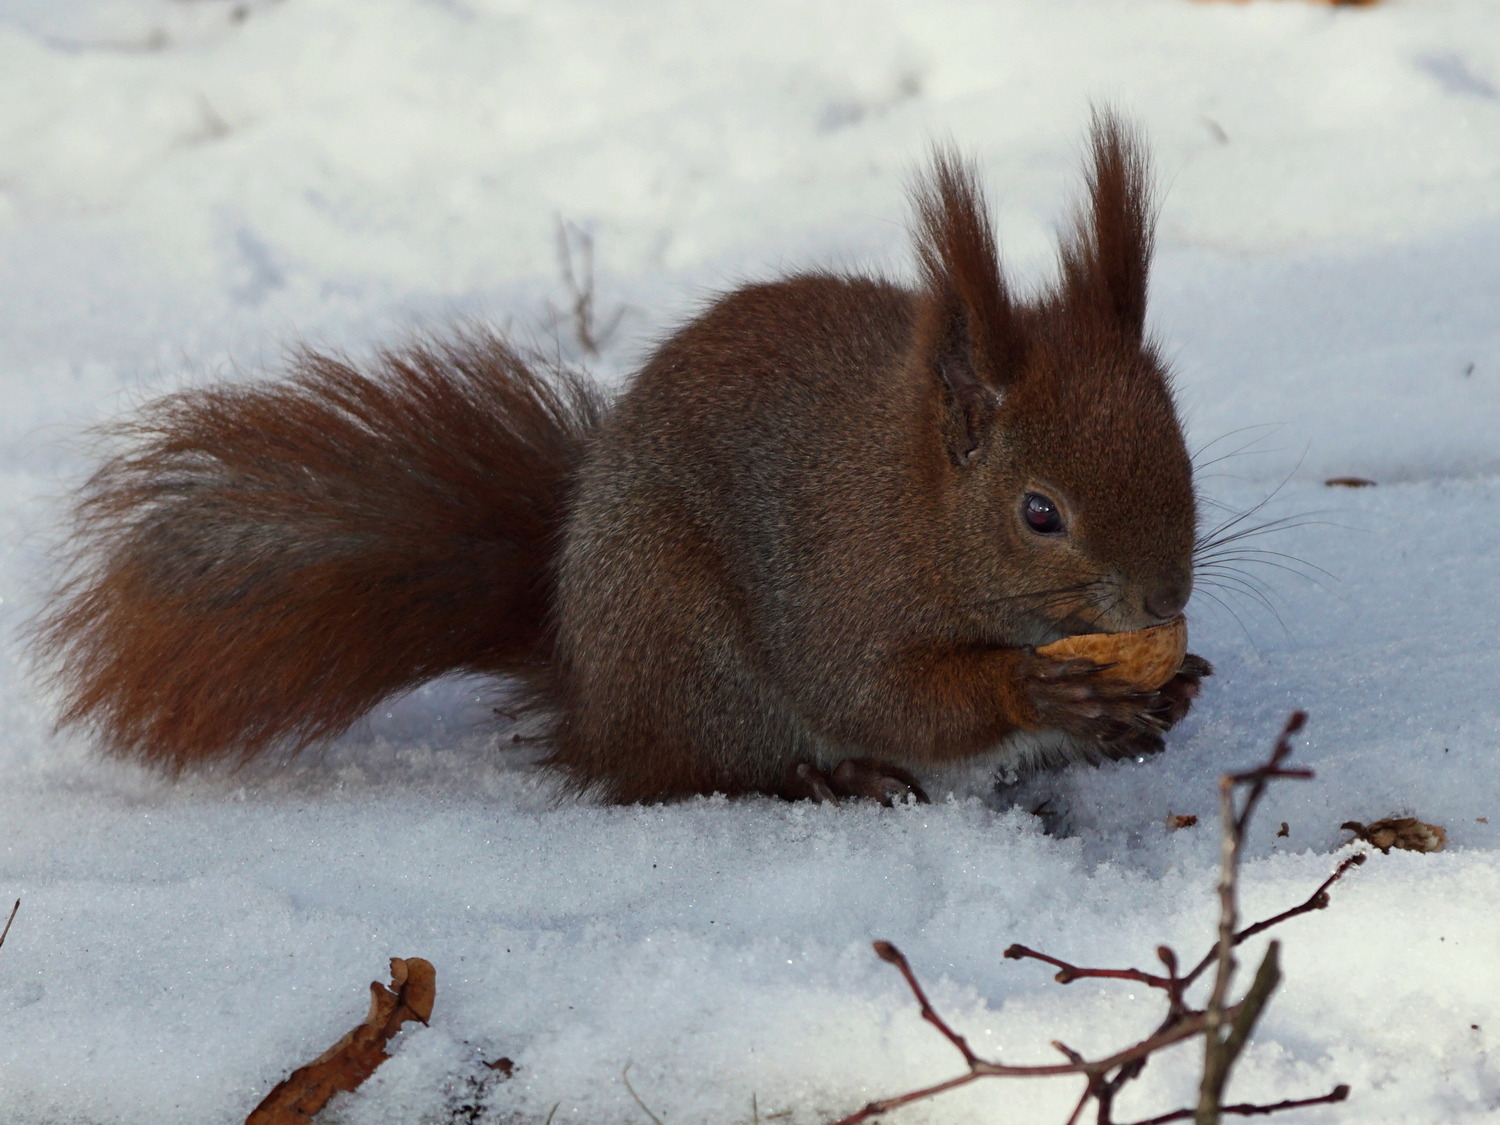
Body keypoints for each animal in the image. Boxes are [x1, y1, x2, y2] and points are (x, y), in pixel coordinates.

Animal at [35, 110, 1206, 804]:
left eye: (1182, 452)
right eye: (1040, 512)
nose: (1163, 604)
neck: (920, 506)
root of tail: (587, 685)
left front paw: (1172, 689)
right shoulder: (843, 582)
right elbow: (885, 692)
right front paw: (1035, 692)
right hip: (685, 647)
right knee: (696, 771)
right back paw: (828, 779)